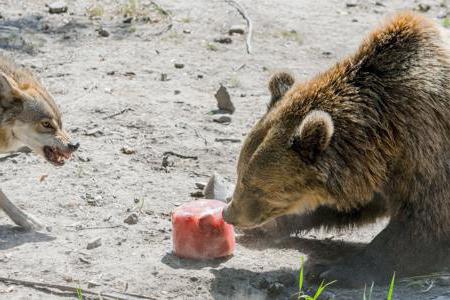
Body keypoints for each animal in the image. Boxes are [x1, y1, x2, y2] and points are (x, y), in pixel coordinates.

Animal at [223, 12, 450, 288]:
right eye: (239, 174)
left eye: (256, 187)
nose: (229, 213)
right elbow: (350, 205)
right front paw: (268, 227)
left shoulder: (427, 149)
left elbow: (423, 227)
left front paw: (333, 270)